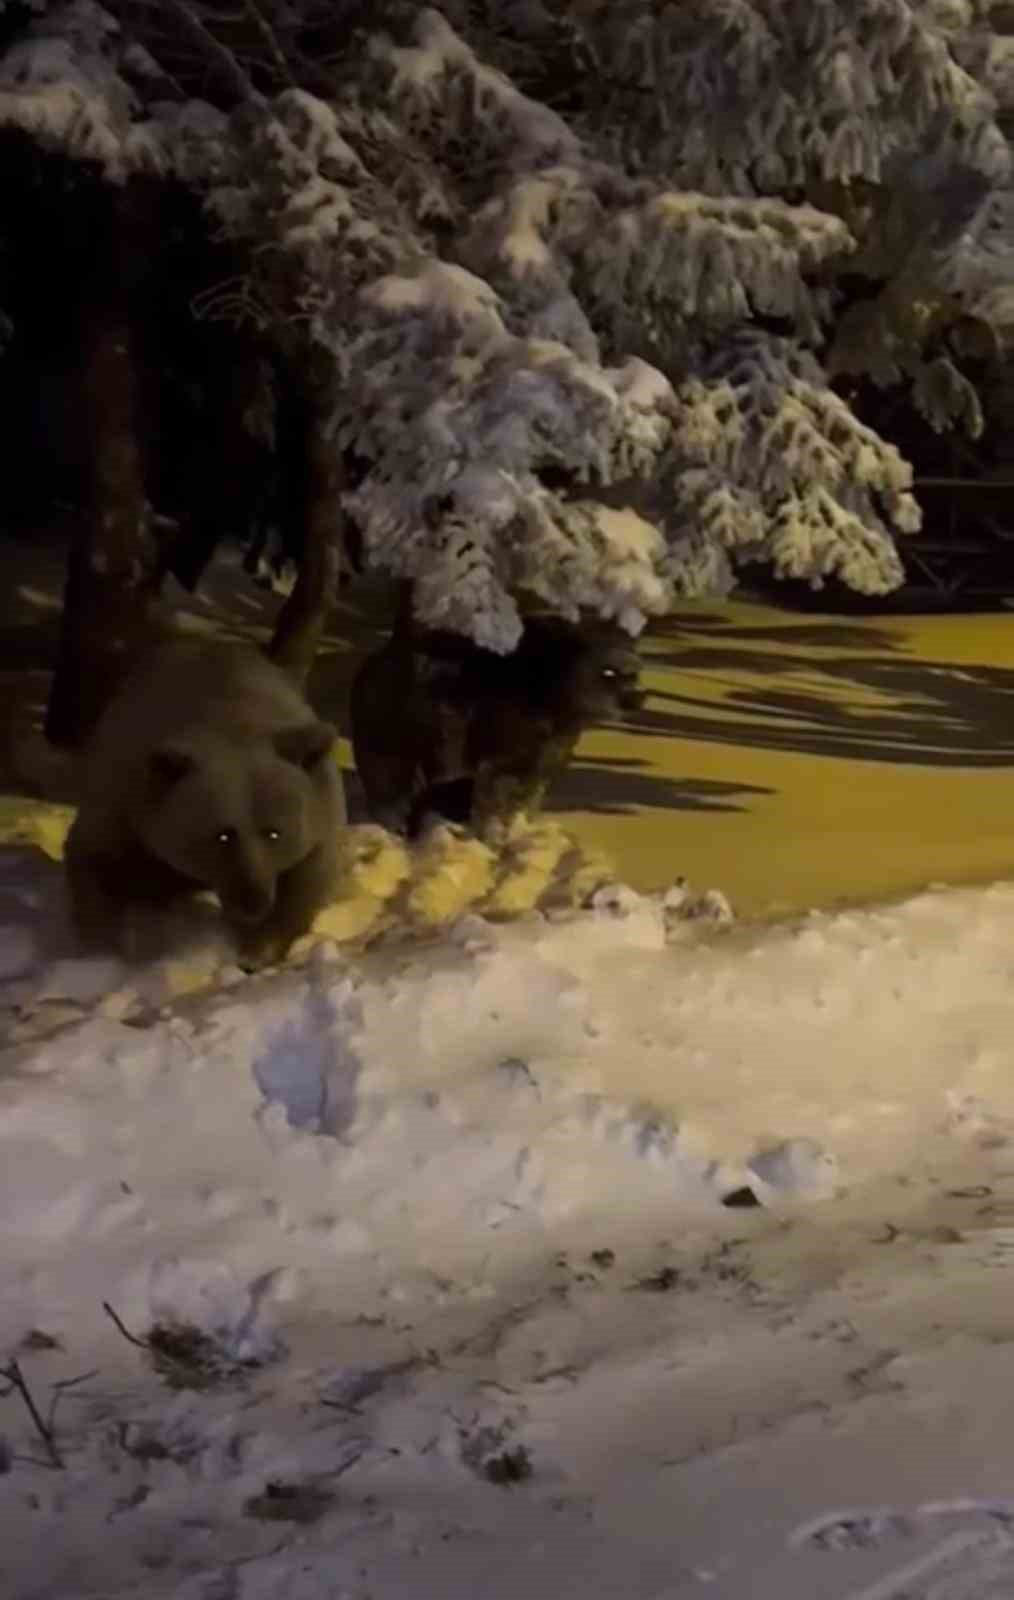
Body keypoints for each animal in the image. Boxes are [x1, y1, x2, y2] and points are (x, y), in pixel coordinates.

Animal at [67, 633, 345, 960]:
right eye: (222, 835)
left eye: (274, 832)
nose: (252, 900)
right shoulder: (120, 798)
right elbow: (95, 864)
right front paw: (100, 949)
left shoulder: (319, 818)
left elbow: (304, 883)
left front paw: (258, 951)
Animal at [351, 611, 642, 838]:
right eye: (609, 673)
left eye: (633, 675)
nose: (636, 701)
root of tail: (382, 655)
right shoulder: (505, 728)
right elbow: (494, 784)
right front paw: (491, 833)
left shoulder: (550, 746)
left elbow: (532, 787)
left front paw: (520, 828)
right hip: (392, 722)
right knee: (390, 774)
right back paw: (396, 817)